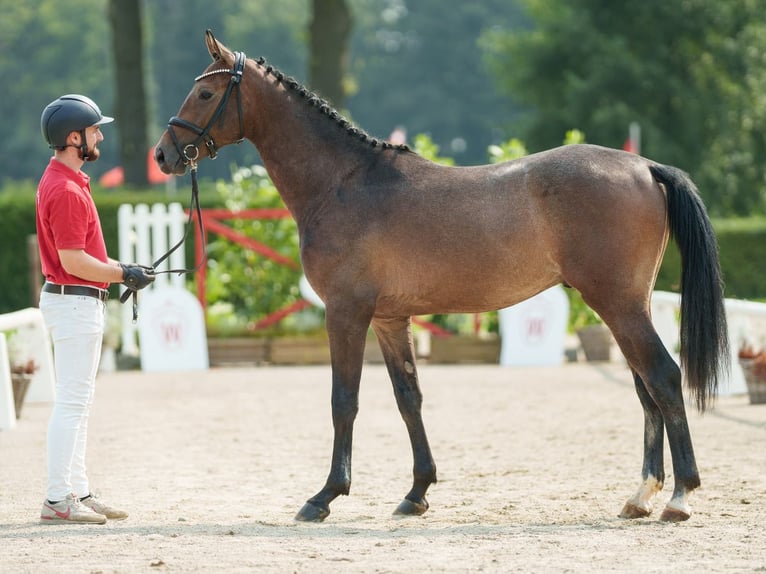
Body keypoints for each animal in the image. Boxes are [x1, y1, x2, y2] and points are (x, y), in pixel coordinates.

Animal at [153, 31, 728, 528]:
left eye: (205, 92)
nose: (163, 155)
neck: (344, 183)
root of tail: (645, 166)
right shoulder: (389, 318)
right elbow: (409, 397)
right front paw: (417, 492)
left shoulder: (346, 312)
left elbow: (344, 400)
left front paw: (325, 496)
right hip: (625, 306)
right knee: (645, 387)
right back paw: (642, 495)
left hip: (618, 305)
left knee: (663, 377)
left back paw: (680, 496)